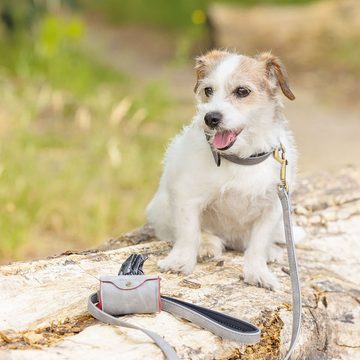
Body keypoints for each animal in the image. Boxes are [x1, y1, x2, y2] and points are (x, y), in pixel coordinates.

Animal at [147, 50, 300, 290]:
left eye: (242, 91)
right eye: (208, 90)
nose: (211, 117)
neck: (240, 158)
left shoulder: (273, 207)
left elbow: (258, 244)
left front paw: (257, 271)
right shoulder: (187, 198)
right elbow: (188, 233)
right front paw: (180, 261)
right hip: (162, 207)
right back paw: (207, 244)